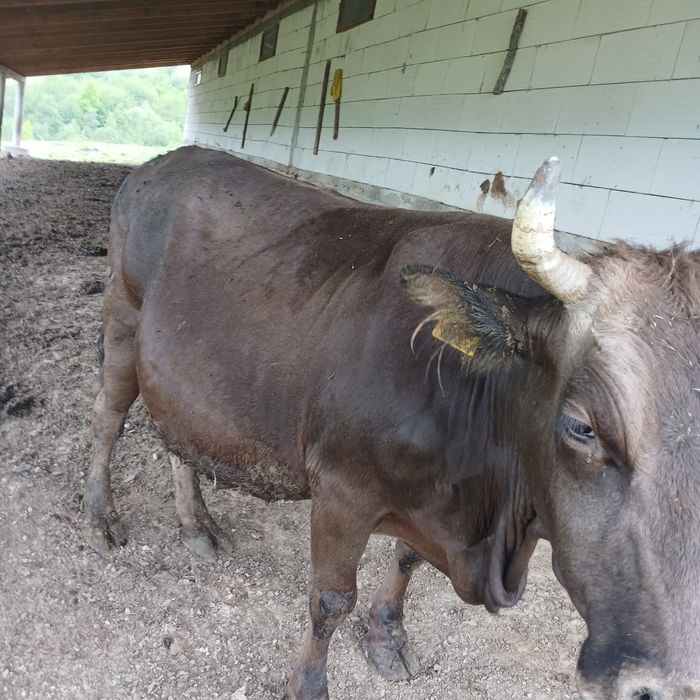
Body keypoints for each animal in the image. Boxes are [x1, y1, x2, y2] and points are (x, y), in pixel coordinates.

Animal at [83, 146, 700, 700]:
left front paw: (387, 636)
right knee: (107, 418)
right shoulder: (342, 486)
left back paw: (197, 525)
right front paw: (309, 685)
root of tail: (165, 160)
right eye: (581, 426)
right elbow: (331, 599)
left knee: (176, 433)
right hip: (122, 314)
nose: (662, 685)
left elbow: (407, 558)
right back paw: (101, 517)